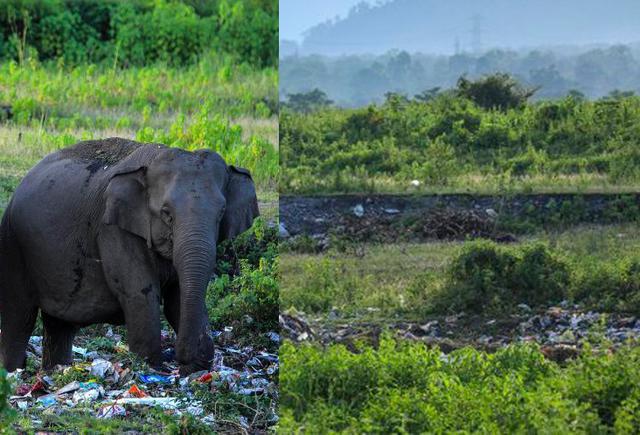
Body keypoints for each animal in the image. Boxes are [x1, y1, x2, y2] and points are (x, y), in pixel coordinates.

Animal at [0, 139, 260, 374]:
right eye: (166, 213)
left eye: (221, 213)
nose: (182, 361)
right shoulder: (113, 229)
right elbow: (140, 294)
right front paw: (150, 366)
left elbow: (176, 299)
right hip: (14, 246)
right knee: (19, 317)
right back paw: (14, 374)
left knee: (59, 325)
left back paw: (56, 371)